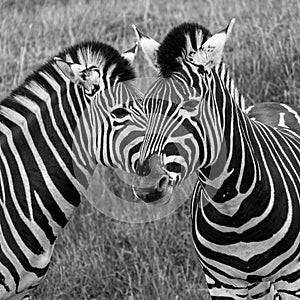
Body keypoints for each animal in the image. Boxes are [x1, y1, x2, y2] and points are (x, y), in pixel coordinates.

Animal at [134, 19, 300, 298]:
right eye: (147, 107)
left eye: (191, 105)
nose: (147, 187)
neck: (233, 210)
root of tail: (269, 104)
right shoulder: (220, 284)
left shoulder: (293, 277)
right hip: (258, 285)